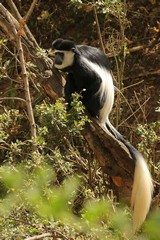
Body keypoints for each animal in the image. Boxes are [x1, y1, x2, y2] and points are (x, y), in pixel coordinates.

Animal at [52, 38, 153, 232]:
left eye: (60, 54)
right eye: (54, 54)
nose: (55, 60)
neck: (75, 56)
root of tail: (104, 116)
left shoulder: (81, 66)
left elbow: (95, 81)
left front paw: (77, 101)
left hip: (97, 102)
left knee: (83, 83)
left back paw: (81, 106)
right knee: (71, 79)